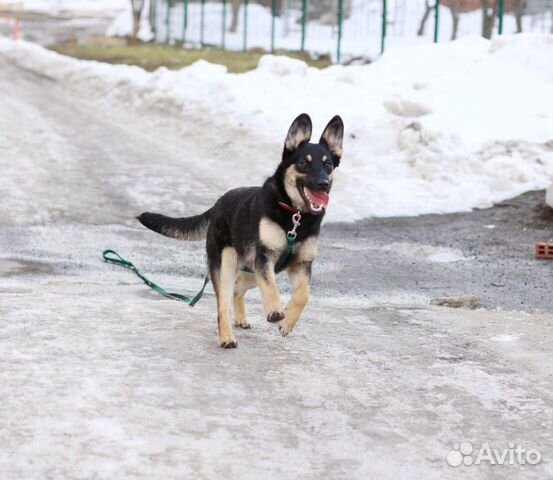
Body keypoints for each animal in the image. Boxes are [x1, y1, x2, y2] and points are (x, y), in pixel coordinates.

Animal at [138, 114, 342, 346]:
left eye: (328, 165)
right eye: (303, 164)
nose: (324, 184)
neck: (295, 215)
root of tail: (217, 205)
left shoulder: (301, 265)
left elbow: (304, 294)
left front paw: (288, 320)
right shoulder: (264, 259)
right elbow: (272, 289)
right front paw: (275, 311)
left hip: (251, 270)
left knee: (237, 290)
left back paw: (241, 320)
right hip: (227, 266)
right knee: (223, 303)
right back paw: (227, 337)